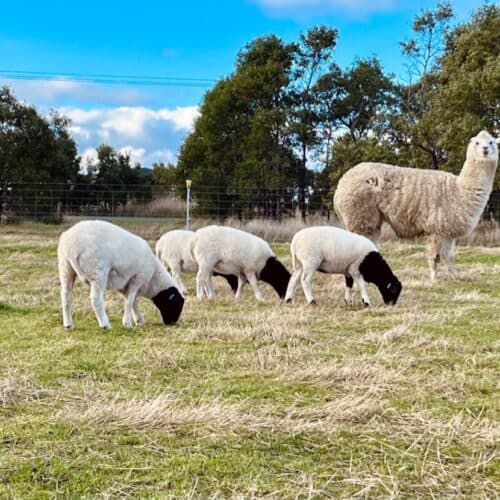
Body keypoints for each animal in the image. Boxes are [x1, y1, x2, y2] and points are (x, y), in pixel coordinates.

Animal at [56, 221, 185, 330]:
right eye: (176, 304)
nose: (172, 323)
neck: (153, 278)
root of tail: (71, 243)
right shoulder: (137, 278)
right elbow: (130, 301)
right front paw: (127, 323)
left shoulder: (124, 284)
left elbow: (133, 301)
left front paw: (138, 320)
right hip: (98, 270)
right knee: (96, 299)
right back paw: (105, 325)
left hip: (65, 268)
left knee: (66, 296)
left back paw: (68, 324)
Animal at [334, 130, 498, 282]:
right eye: (477, 143)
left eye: (491, 142)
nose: (485, 149)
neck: (459, 191)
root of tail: (340, 184)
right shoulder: (435, 229)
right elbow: (434, 257)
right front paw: (434, 279)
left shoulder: (448, 231)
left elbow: (449, 256)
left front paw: (452, 277)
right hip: (360, 216)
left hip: (370, 220)